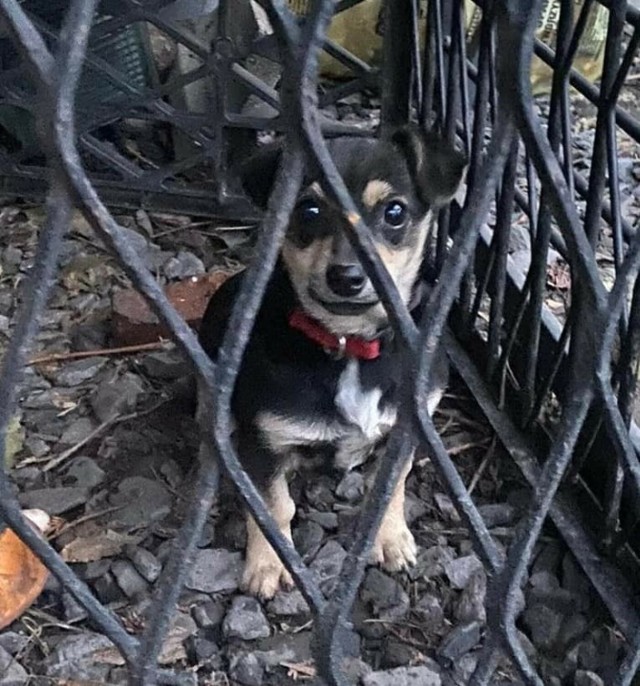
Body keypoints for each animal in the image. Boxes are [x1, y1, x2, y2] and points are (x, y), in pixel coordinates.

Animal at [198, 126, 462, 600]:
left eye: (395, 212)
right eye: (309, 209)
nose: (347, 276)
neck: (350, 344)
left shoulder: (410, 428)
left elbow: (390, 485)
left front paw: (389, 538)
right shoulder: (264, 443)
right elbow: (274, 506)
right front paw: (268, 564)